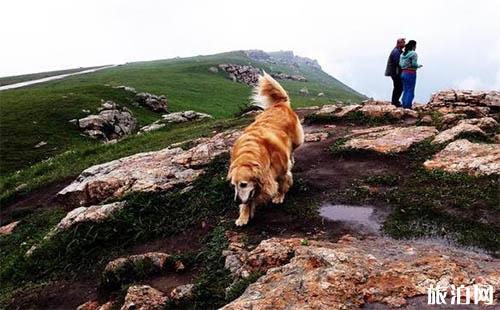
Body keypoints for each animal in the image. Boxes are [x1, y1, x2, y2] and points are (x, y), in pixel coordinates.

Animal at [228, 74, 304, 226]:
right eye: (233, 185)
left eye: (243, 184)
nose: (236, 201)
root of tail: (279, 104)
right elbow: (248, 200)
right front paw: (243, 216)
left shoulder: (281, 172)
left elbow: (283, 184)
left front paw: (279, 196)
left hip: (298, 140)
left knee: (292, 150)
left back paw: (292, 159)